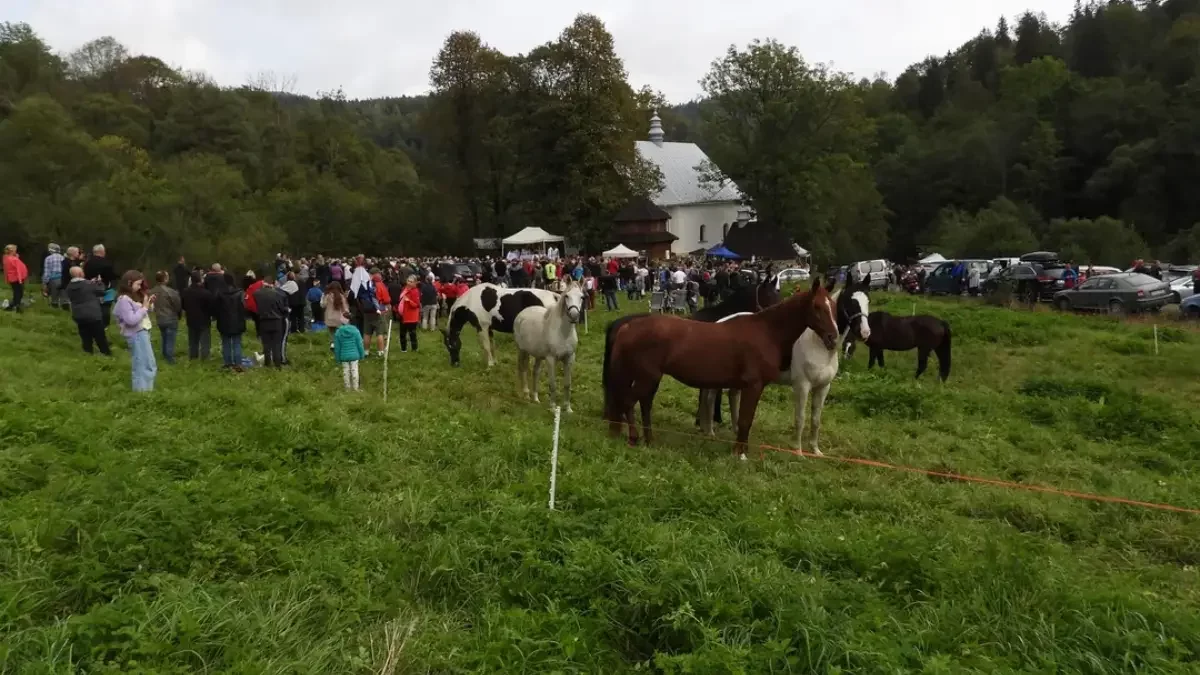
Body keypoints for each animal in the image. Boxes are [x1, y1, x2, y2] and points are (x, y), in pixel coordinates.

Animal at [511, 278, 585, 410]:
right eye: (566, 296)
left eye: (582, 297)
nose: (574, 316)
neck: (563, 333)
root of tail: (522, 314)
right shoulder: (551, 359)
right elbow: (553, 384)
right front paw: (553, 407)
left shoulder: (569, 358)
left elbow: (567, 384)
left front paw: (568, 408)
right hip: (522, 351)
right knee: (523, 368)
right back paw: (526, 395)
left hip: (538, 356)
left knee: (535, 372)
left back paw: (535, 398)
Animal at [604, 275, 840, 456]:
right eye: (817, 307)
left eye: (834, 307)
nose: (833, 338)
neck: (766, 331)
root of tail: (627, 327)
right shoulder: (754, 386)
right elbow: (744, 420)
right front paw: (739, 454)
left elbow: (745, 419)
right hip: (647, 377)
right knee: (628, 402)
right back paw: (634, 438)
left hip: (648, 377)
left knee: (641, 404)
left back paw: (649, 439)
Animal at [696, 276, 873, 454]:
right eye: (850, 302)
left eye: (867, 301)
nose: (864, 333)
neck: (818, 345)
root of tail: (720, 321)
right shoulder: (802, 385)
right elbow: (800, 418)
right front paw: (798, 451)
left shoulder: (823, 387)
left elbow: (816, 420)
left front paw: (815, 450)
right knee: (710, 397)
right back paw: (710, 431)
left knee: (732, 396)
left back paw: (733, 430)